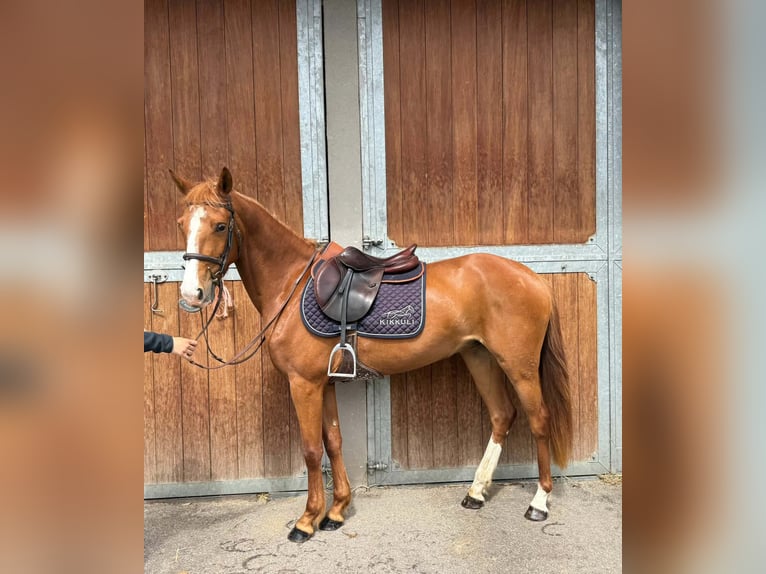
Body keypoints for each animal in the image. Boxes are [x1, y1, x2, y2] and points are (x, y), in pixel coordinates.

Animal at [170, 167, 573, 543]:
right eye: (181, 225)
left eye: (221, 225)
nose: (192, 294)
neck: (292, 284)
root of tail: (532, 278)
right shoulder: (324, 383)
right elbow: (333, 442)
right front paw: (336, 512)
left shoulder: (304, 384)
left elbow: (311, 449)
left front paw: (307, 520)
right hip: (480, 357)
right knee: (502, 416)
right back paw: (475, 492)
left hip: (519, 367)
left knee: (539, 419)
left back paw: (538, 502)